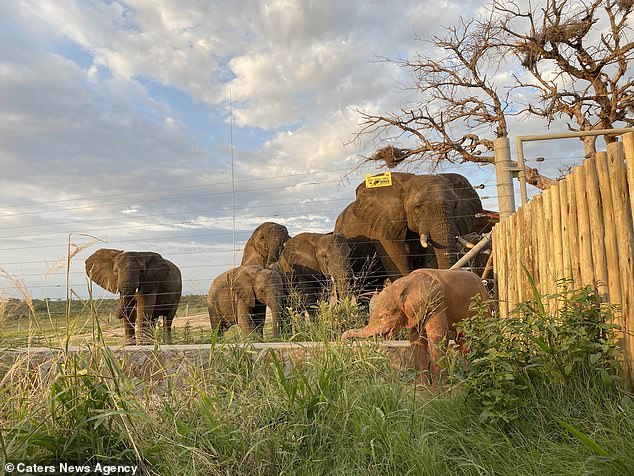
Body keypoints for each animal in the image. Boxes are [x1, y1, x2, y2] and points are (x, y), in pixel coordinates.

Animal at [344, 268, 486, 384]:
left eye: (386, 315)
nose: (343, 338)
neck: (406, 283)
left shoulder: (436, 303)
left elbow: (436, 336)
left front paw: (438, 388)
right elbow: (416, 339)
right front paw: (423, 386)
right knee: (464, 340)